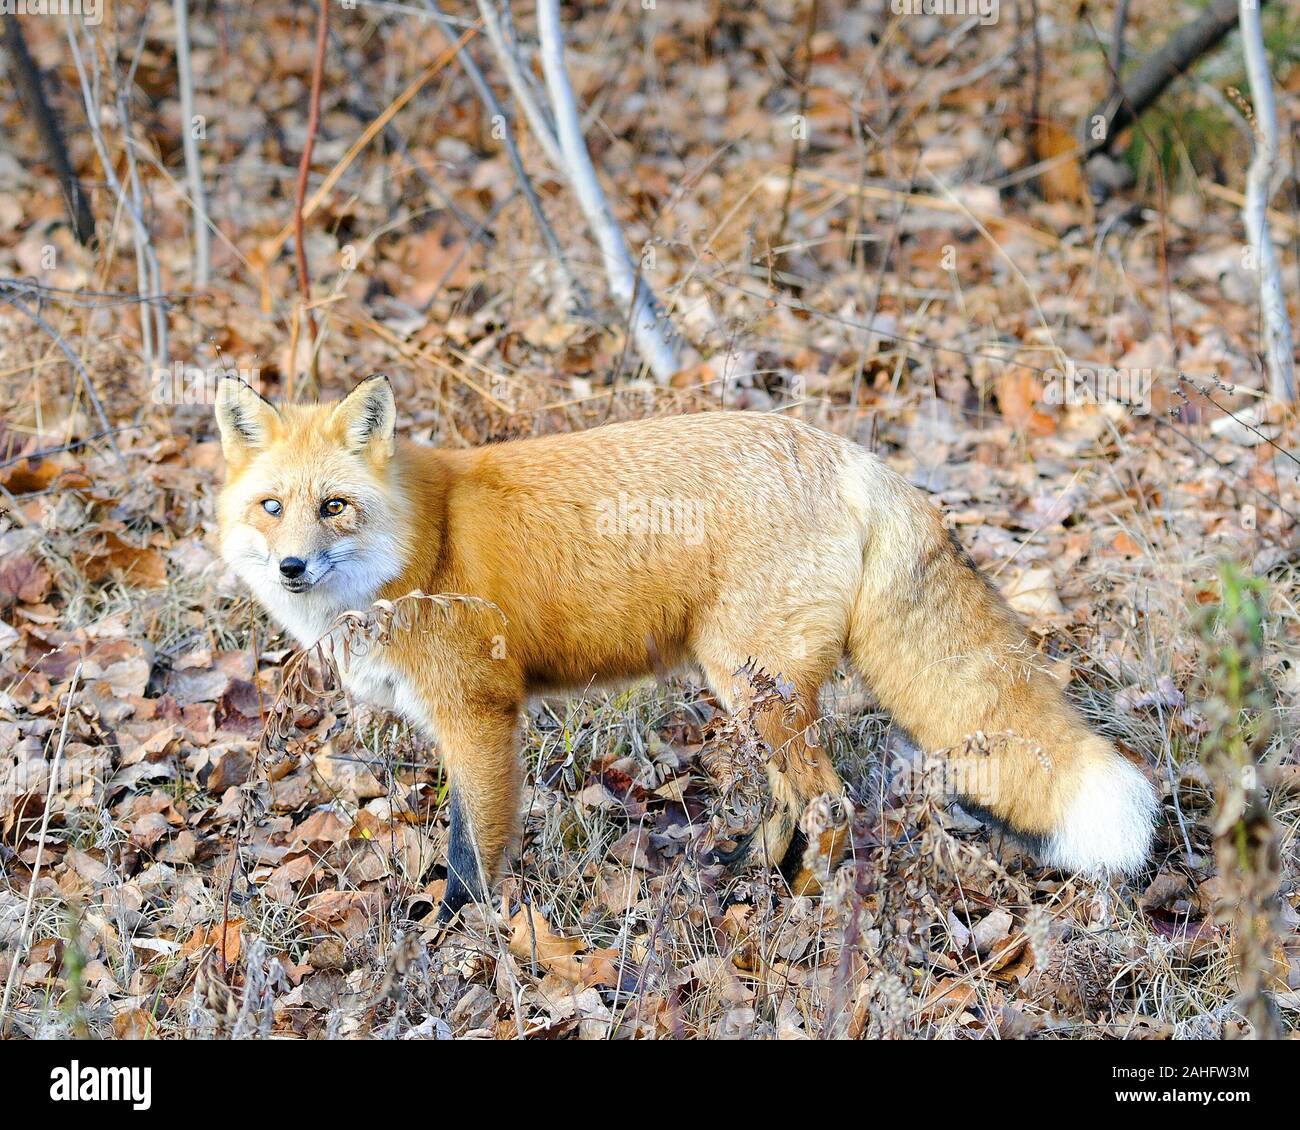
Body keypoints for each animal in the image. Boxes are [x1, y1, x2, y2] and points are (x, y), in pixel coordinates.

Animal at [213, 374, 1159, 920]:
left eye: (334, 506)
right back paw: (750, 875)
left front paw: (462, 938)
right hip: (748, 689)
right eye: (272, 508)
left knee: (831, 805)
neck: (422, 545)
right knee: (793, 798)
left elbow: (474, 851)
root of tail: (856, 459)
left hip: (753, 685)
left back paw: (797, 917)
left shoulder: (478, 716)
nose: (293, 567)